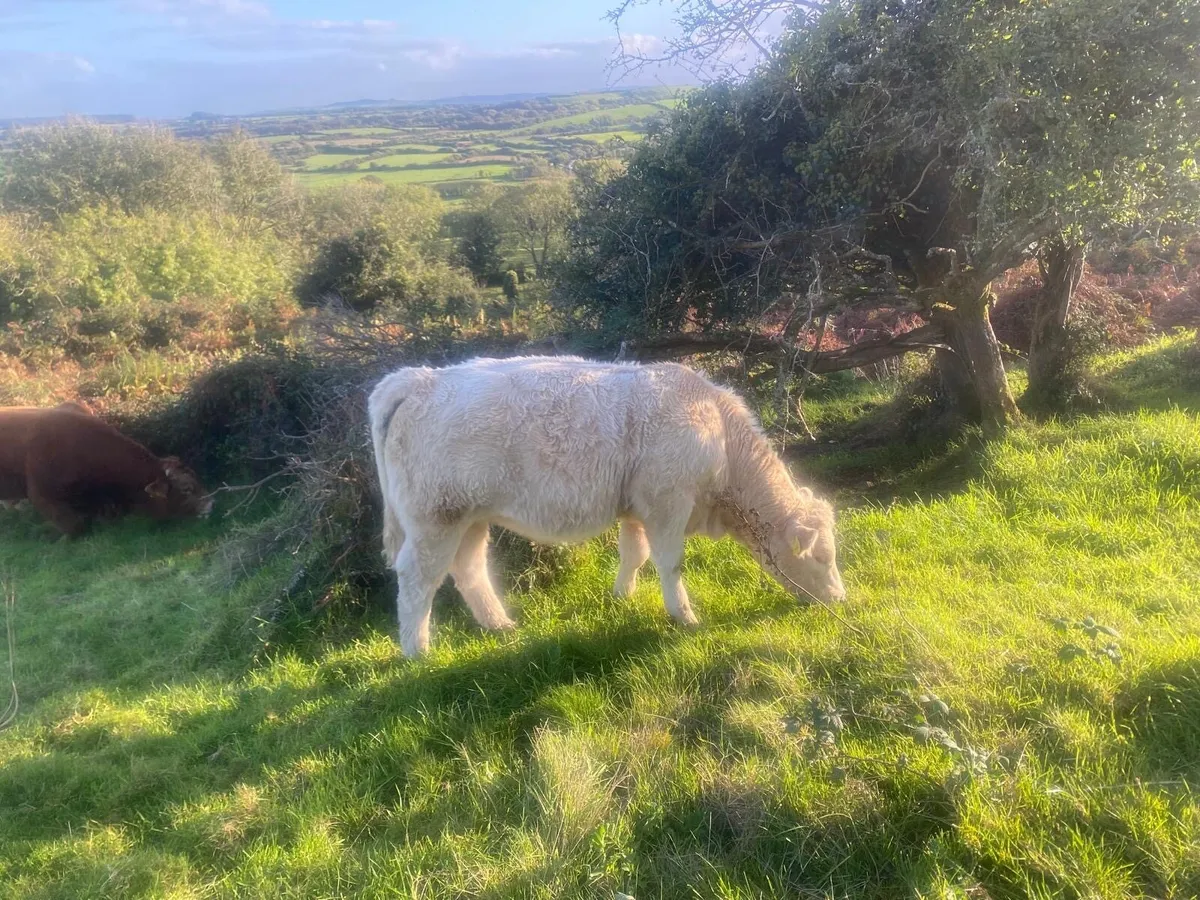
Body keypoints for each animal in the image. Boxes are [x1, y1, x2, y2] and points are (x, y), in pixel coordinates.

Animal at [369, 355, 845, 657]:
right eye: (822, 557)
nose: (840, 599)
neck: (720, 436)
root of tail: (417, 379)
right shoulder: (668, 501)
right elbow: (669, 563)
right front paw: (684, 616)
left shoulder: (637, 508)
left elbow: (634, 553)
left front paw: (622, 597)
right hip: (436, 518)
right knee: (418, 578)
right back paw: (418, 651)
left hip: (471, 517)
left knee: (469, 568)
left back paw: (499, 625)